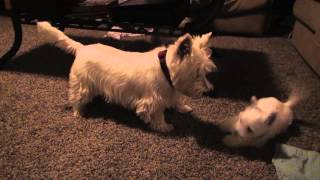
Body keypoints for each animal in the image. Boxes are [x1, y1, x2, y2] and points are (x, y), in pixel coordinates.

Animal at [37, 22, 218, 132]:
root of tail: (82, 48)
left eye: (205, 72)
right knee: (76, 98)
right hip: (83, 85)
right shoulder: (153, 100)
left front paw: (183, 108)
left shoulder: (170, 90)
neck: (164, 68)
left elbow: (177, 99)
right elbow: (158, 114)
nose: (209, 90)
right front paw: (164, 126)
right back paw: (79, 112)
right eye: (196, 73)